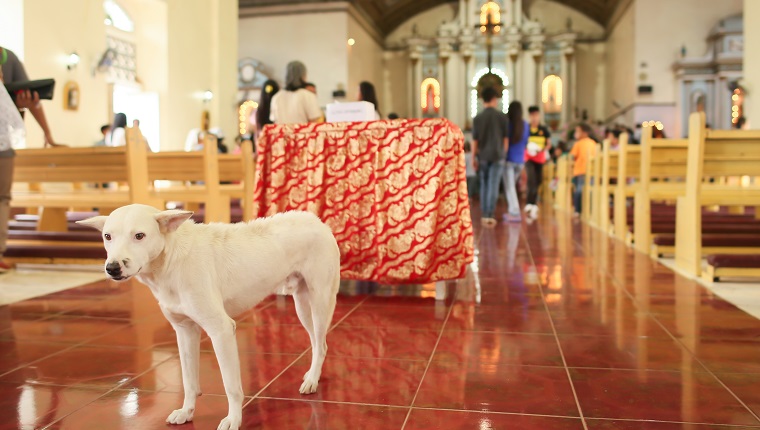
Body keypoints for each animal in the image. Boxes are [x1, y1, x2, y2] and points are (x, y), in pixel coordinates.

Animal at [77, 204, 338, 430]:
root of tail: (316, 220)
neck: (172, 260)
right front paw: (186, 412)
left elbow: (231, 386)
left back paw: (312, 380)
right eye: (108, 236)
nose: (112, 268)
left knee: (323, 344)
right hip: (302, 306)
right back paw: (311, 375)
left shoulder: (221, 330)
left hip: (319, 302)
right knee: (317, 343)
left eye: (139, 236)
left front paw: (234, 419)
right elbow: (189, 382)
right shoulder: (184, 331)